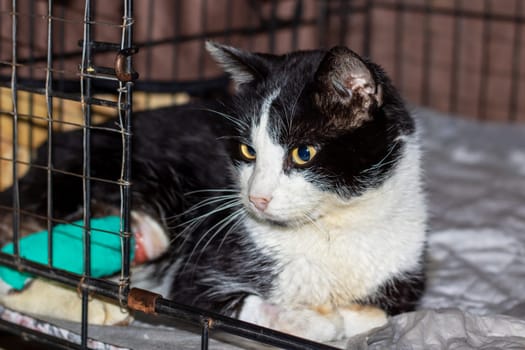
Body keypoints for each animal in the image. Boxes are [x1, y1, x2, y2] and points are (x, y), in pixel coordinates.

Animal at [0, 43, 426, 342]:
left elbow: (381, 314)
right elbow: (226, 308)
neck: (332, 227)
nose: (256, 199)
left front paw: (352, 314)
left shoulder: (406, 273)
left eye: (303, 153)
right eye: (248, 151)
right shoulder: (204, 269)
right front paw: (316, 318)